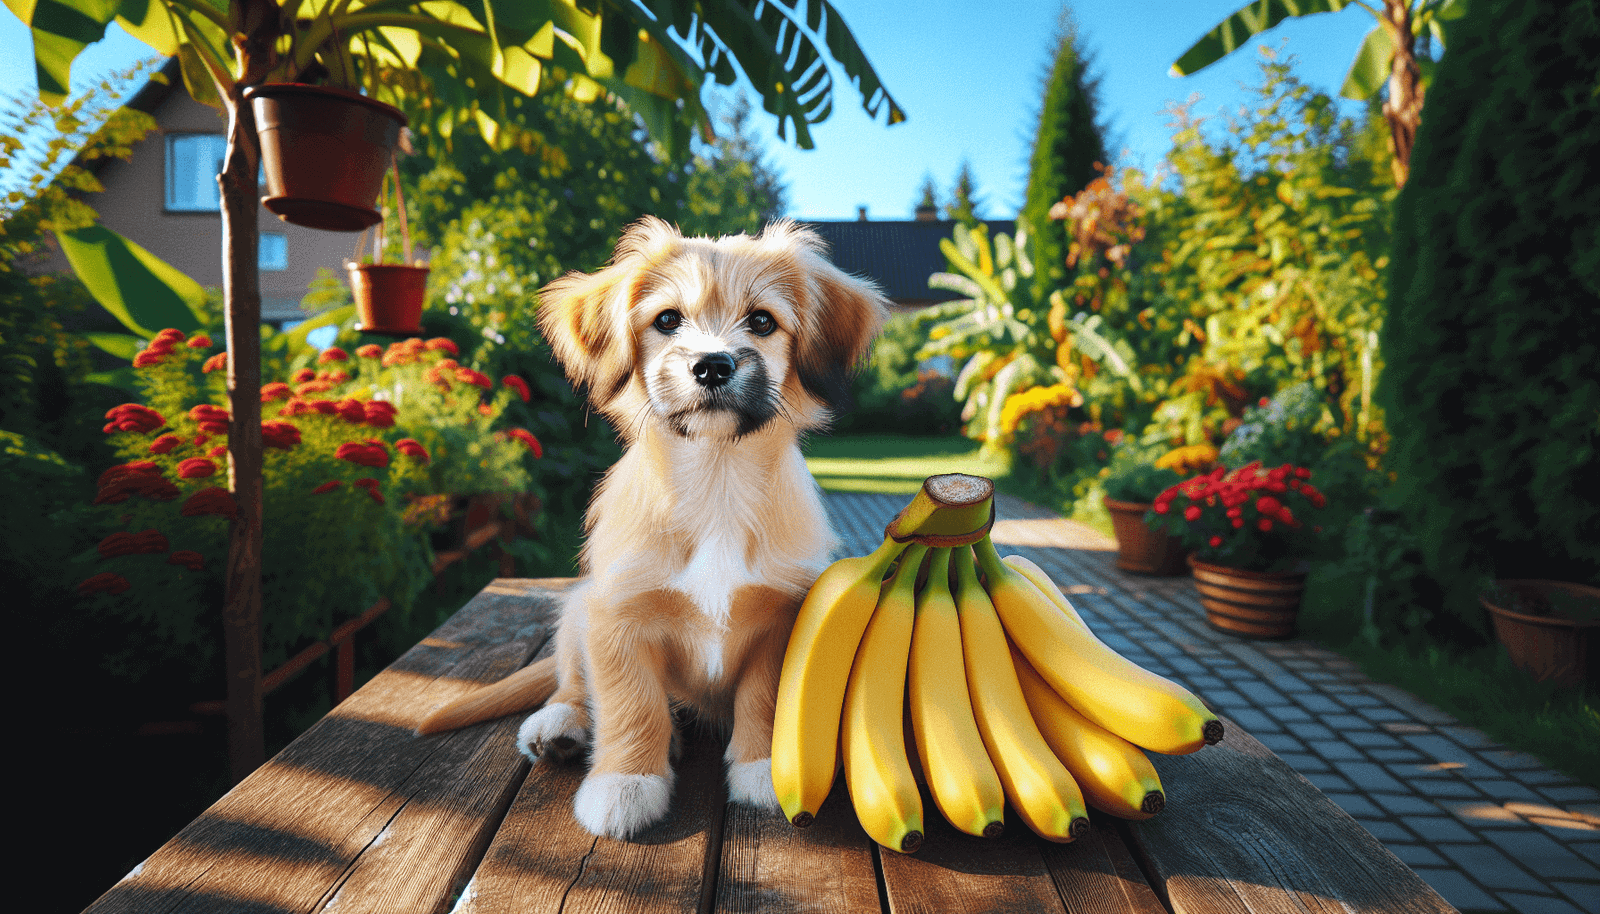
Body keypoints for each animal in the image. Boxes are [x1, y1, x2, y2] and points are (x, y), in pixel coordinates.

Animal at [412, 212, 889, 838]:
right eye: (667, 320)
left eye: (762, 321)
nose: (712, 365)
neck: (715, 480)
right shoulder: (618, 615)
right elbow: (630, 706)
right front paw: (625, 782)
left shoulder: (780, 619)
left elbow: (764, 698)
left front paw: (764, 768)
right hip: (578, 608)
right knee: (572, 683)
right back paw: (559, 727)